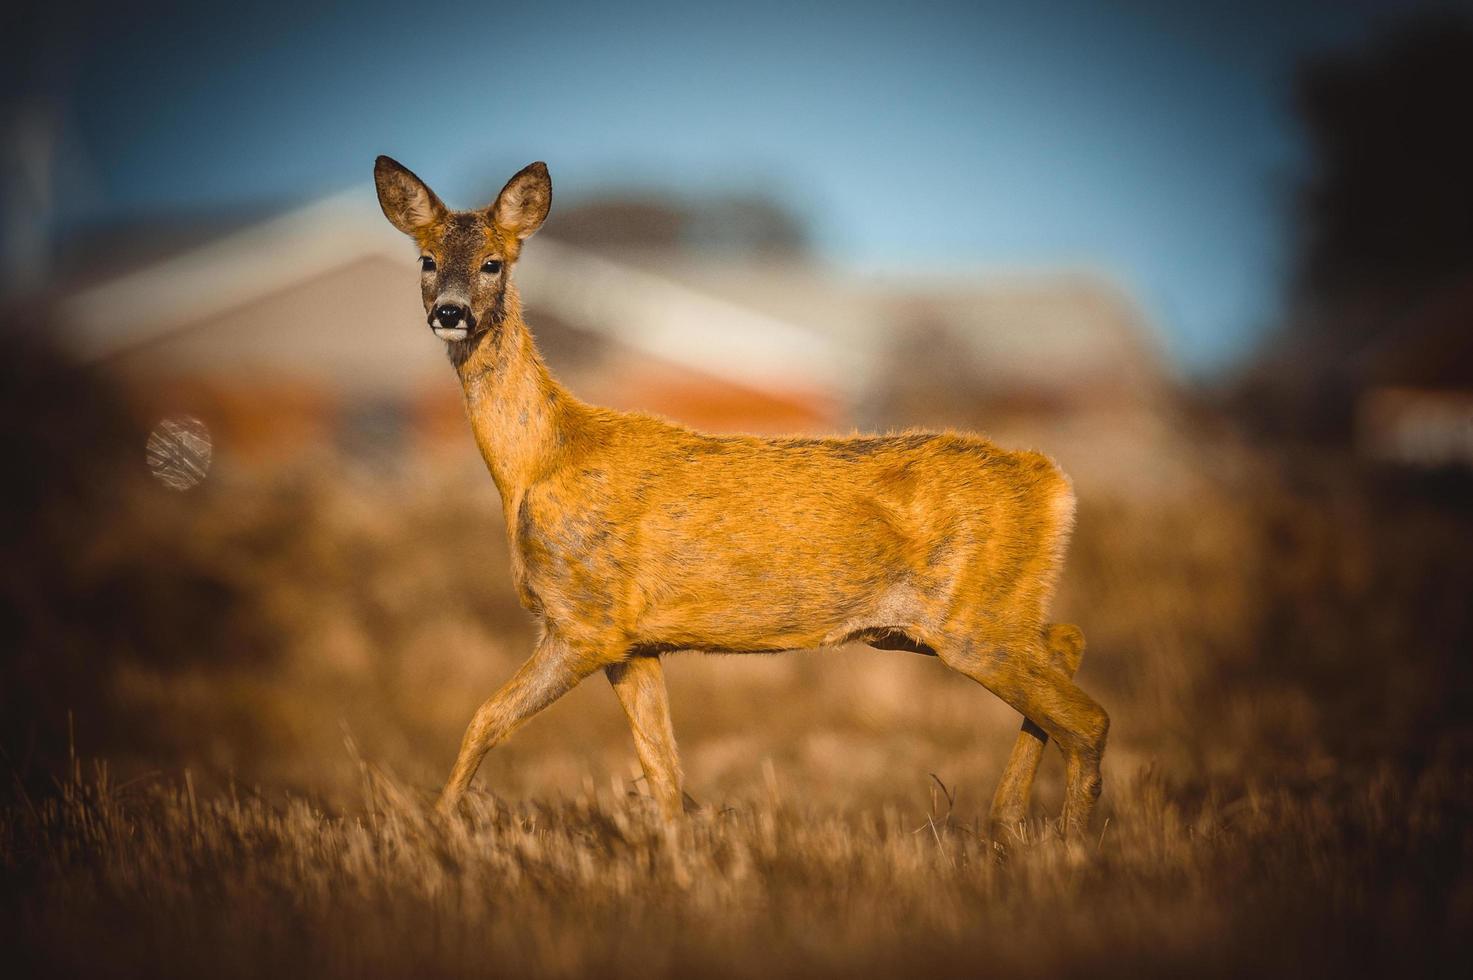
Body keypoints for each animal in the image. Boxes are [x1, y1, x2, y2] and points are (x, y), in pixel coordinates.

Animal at [374, 156, 1107, 837]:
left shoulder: (586, 620)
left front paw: (433, 833)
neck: (540, 462)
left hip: (971, 619)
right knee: (1066, 642)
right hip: (940, 622)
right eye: (427, 260)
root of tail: (1052, 480)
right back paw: (1008, 823)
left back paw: (1067, 844)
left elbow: (484, 718)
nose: (449, 312)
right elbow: (662, 770)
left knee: (1089, 716)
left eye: (493, 262)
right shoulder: (634, 644)